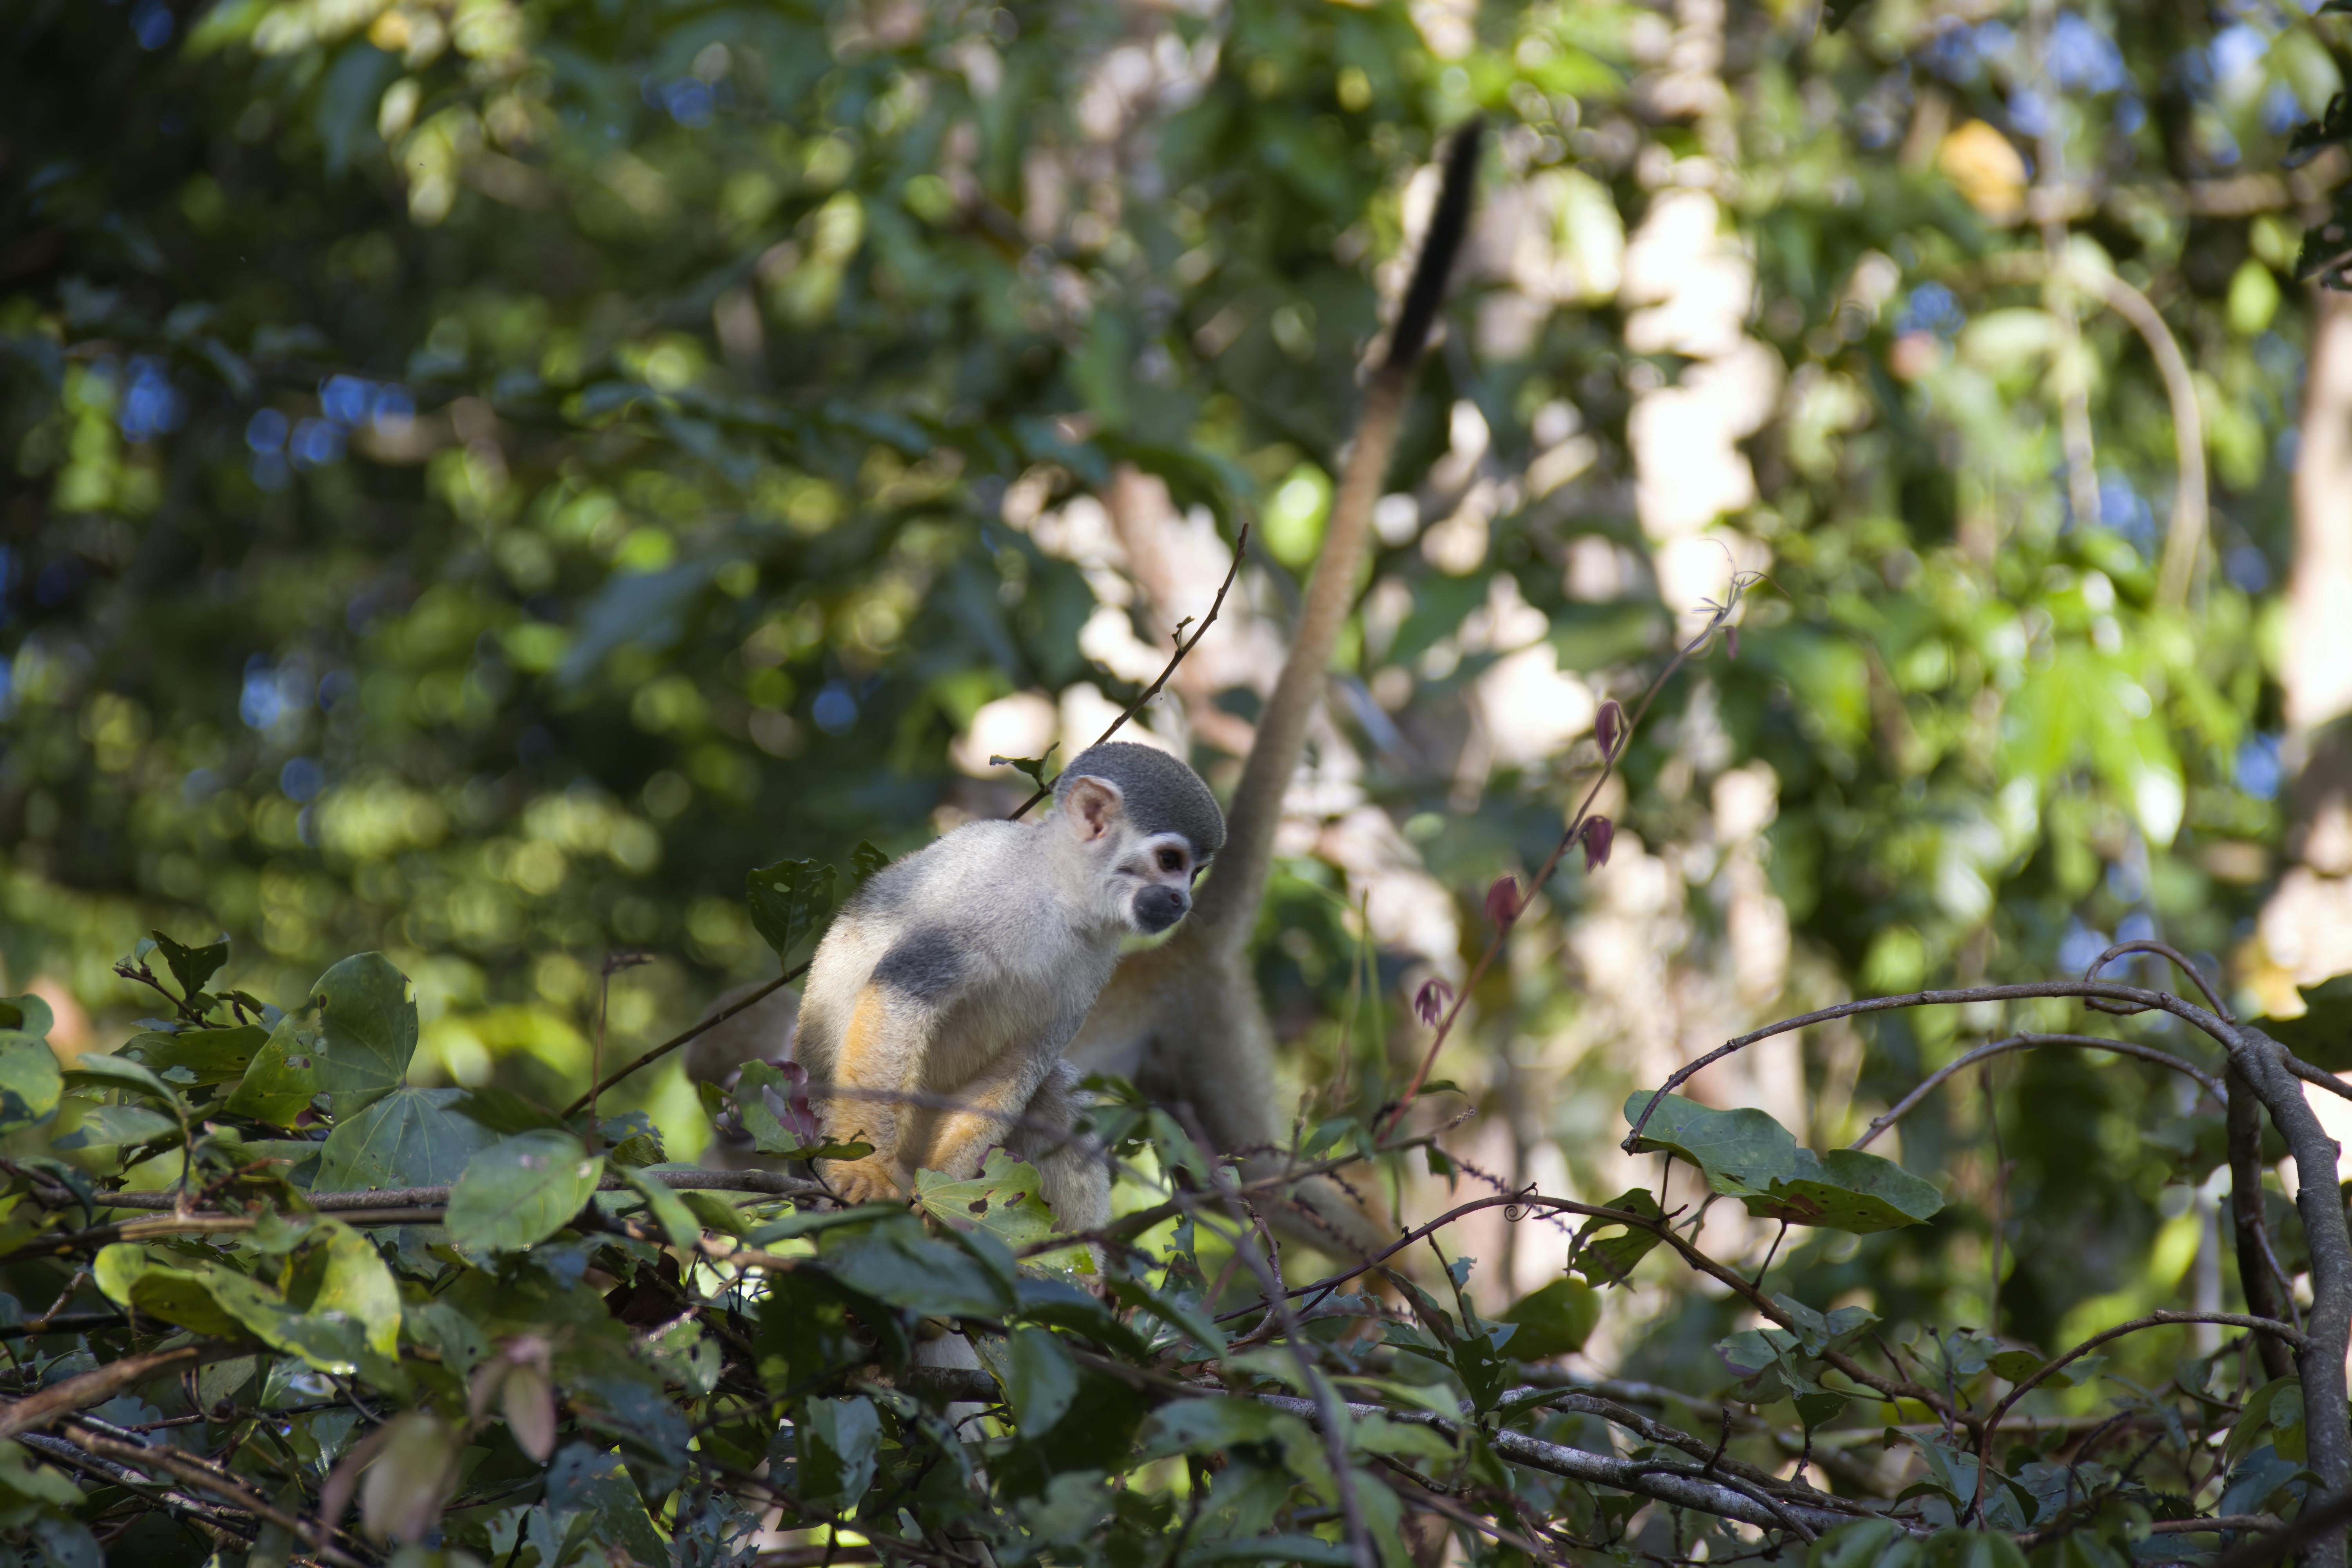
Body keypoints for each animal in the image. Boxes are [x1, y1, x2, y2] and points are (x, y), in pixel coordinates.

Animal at [795, 748, 1232, 1222]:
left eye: (1195, 873)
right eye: (1170, 861)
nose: (1181, 900)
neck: (1059, 894)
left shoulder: (1097, 958)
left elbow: (1022, 1061)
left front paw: (947, 1194)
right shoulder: (983, 899)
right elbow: (898, 998)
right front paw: (867, 1171)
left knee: (1052, 1095)